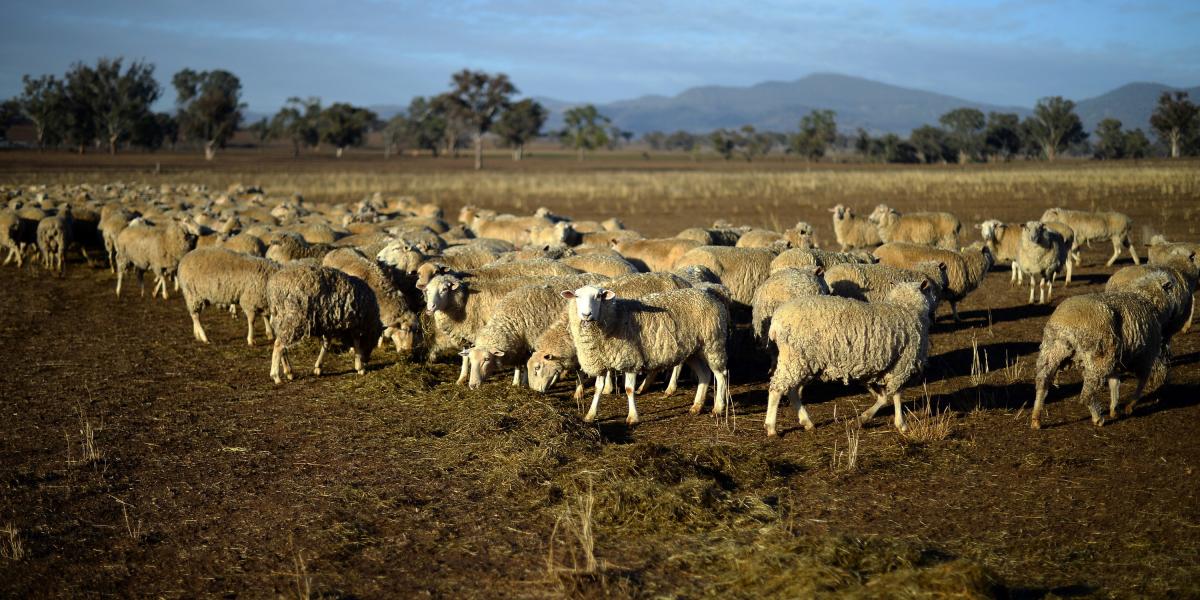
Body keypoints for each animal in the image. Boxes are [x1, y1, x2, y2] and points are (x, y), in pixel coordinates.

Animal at [561, 283, 729, 424]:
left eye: (598, 296)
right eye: (577, 296)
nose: (586, 314)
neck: (615, 317)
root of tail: (708, 295)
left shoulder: (630, 359)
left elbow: (629, 390)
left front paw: (632, 417)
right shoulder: (600, 362)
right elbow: (598, 388)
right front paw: (590, 415)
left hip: (713, 343)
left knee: (721, 375)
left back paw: (718, 408)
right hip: (693, 351)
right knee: (704, 375)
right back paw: (697, 406)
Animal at [763, 280, 940, 436]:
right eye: (930, 290)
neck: (906, 308)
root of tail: (776, 322)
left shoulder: (877, 369)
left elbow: (883, 398)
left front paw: (863, 418)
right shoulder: (901, 364)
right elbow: (896, 395)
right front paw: (901, 424)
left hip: (802, 361)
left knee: (791, 391)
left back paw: (807, 422)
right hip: (795, 357)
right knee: (777, 389)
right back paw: (771, 427)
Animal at [1027, 274, 1176, 429]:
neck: (1147, 299)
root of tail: (1064, 325)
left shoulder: (1116, 359)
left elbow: (1114, 383)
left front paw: (1114, 409)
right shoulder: (1146, 355)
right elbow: (1142, 382)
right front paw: (1130, 406)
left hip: (1051, 352)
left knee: (1042, 384)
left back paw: (1036, 419)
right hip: (1099, 356)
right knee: (1087, 394)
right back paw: (1097, 418)